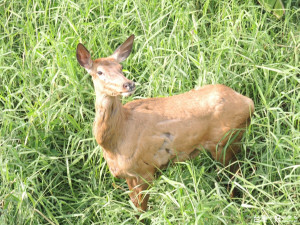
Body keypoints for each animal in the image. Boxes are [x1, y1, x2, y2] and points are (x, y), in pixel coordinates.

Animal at [76, 34, 254, 213]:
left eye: (121, 67)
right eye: (99, 72)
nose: (129, 84)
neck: (115, 141)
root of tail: (248, 102)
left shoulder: (144, 171)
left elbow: (142, 210)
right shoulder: (129, 175)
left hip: (224, 143)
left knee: (235, 177)